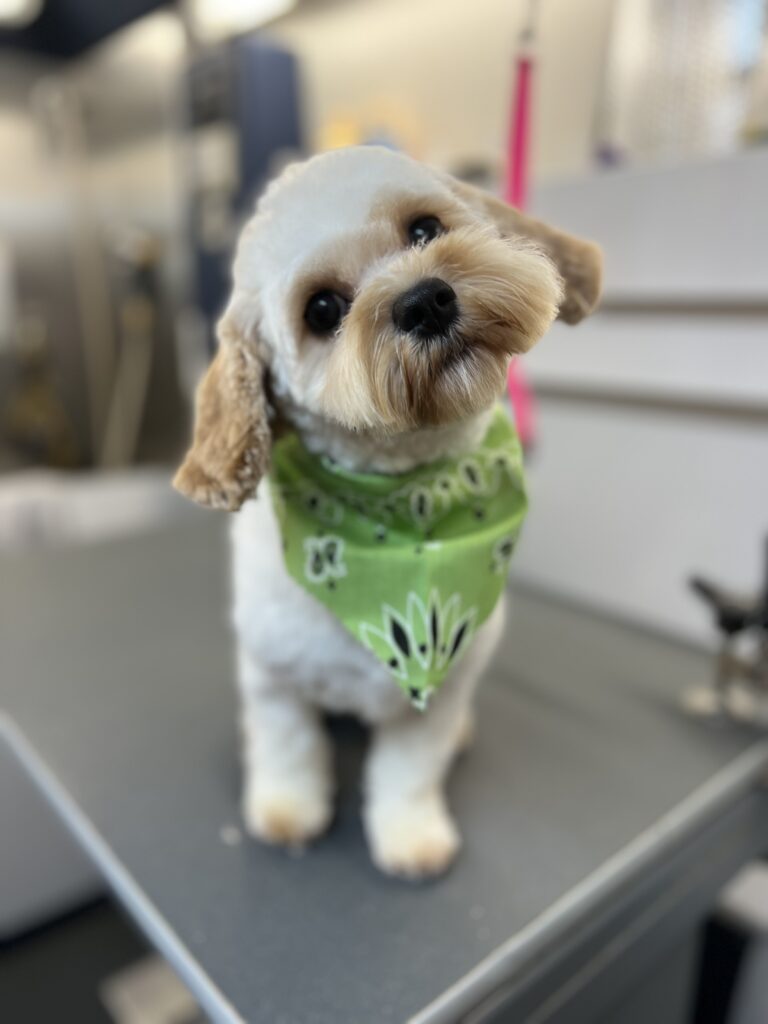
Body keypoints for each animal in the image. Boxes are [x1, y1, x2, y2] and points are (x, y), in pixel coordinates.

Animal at [174, 146, 602, 880]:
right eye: (322, 309)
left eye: (425, 229)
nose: (425, 299)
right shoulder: (274, 677)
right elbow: (287, 746)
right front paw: (287, 812)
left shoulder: (436, 694)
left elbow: (409, 771)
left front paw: (410, 837)